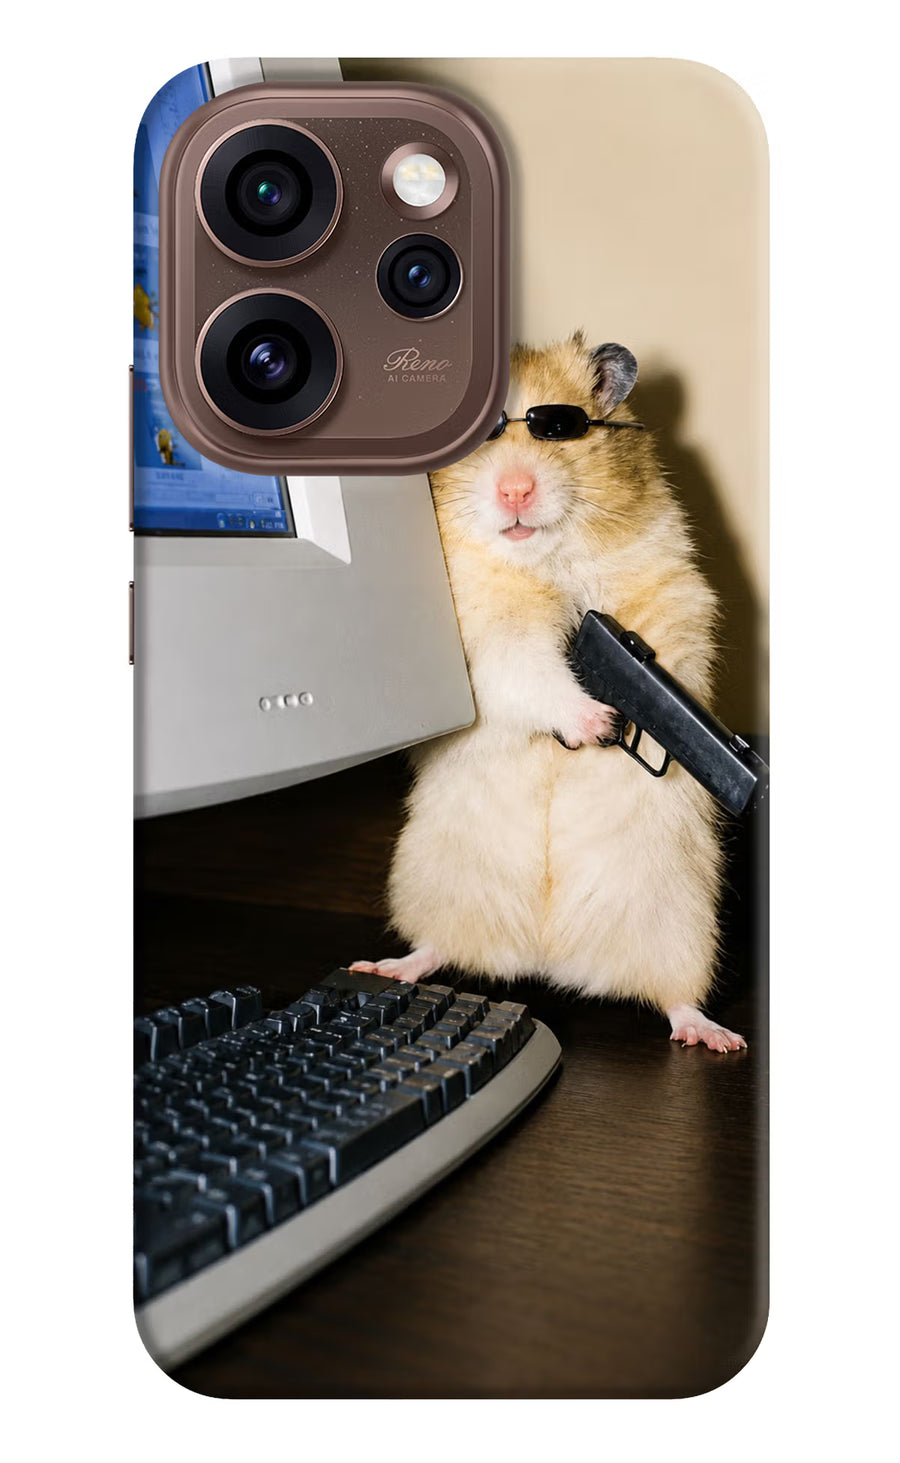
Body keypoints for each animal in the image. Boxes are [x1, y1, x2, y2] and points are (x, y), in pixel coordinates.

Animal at [352, 334, 745, 1052]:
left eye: (559, 428)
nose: (515, 489)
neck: (544, 559)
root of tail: (548, 957)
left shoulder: (672, 591)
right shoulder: (487, 640)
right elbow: (531, 672)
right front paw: (598, 722)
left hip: (681, 922)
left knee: (675, 997)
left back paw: (716, 1036)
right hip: (433, 882)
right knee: (436, 947)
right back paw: (386, 966)